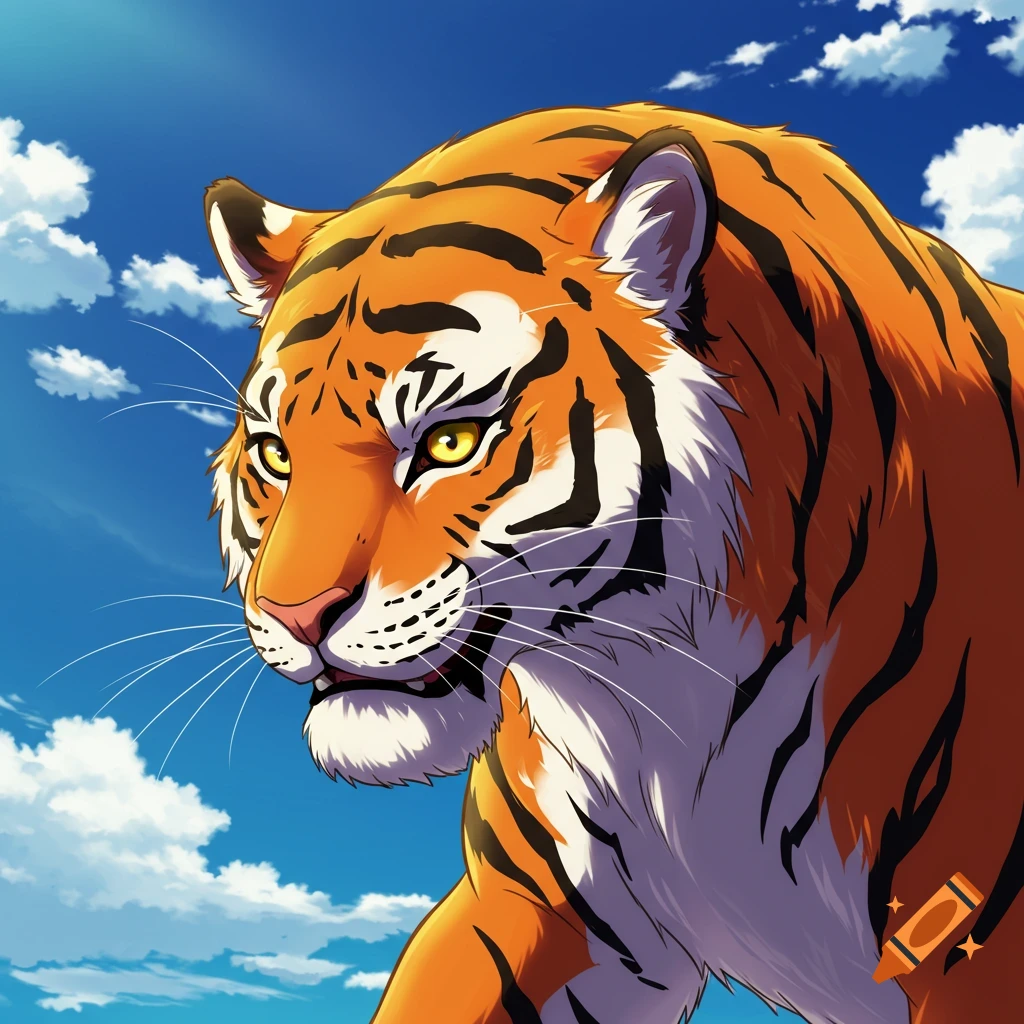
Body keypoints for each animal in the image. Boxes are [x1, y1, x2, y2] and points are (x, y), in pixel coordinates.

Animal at [203, 102, 1024, 1024]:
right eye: (276, 455)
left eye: (451, 442)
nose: (294, 615)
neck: (669, 697)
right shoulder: (538, 907)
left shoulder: (978, 957)